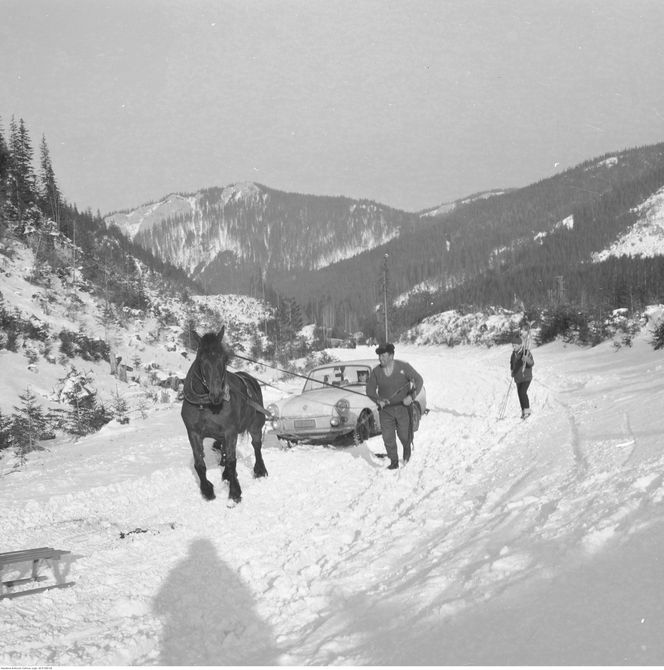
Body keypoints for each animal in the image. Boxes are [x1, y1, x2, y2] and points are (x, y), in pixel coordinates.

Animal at [182, 326, 268, 504]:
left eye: (224, 358)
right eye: (201, 358)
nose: (217, 394)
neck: (206, 406)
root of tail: (251, 379)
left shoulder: (230, 432)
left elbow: (231, 461)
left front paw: (234, 492)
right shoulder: (193, 433)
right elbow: (199, 463)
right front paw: (207, 490)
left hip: (255, 426)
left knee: (256, 446)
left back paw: (259, 470)